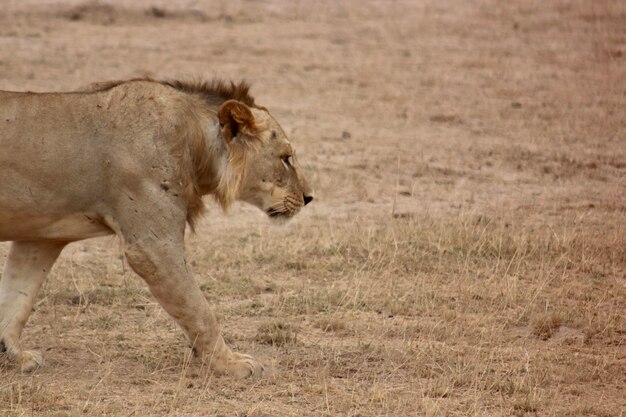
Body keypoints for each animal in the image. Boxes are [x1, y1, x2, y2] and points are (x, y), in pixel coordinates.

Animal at [0, 78, 312, 374]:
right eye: (285, 158)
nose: (309, 197)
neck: (194, 144)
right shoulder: (152, 245)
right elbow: (198, 308)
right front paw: (230, 363)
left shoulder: (41, 237)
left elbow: (16, 299)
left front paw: (13, 356)